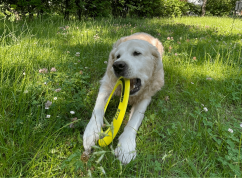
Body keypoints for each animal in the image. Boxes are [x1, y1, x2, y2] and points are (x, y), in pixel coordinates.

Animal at [82, 32, 164, 164]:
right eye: (117, 56)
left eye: (137, 53)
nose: (117, 65)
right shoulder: (106, 85)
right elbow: (97, 108)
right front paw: (91, 132)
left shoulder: (145, 98)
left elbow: (134, 121)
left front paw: (126, 147)